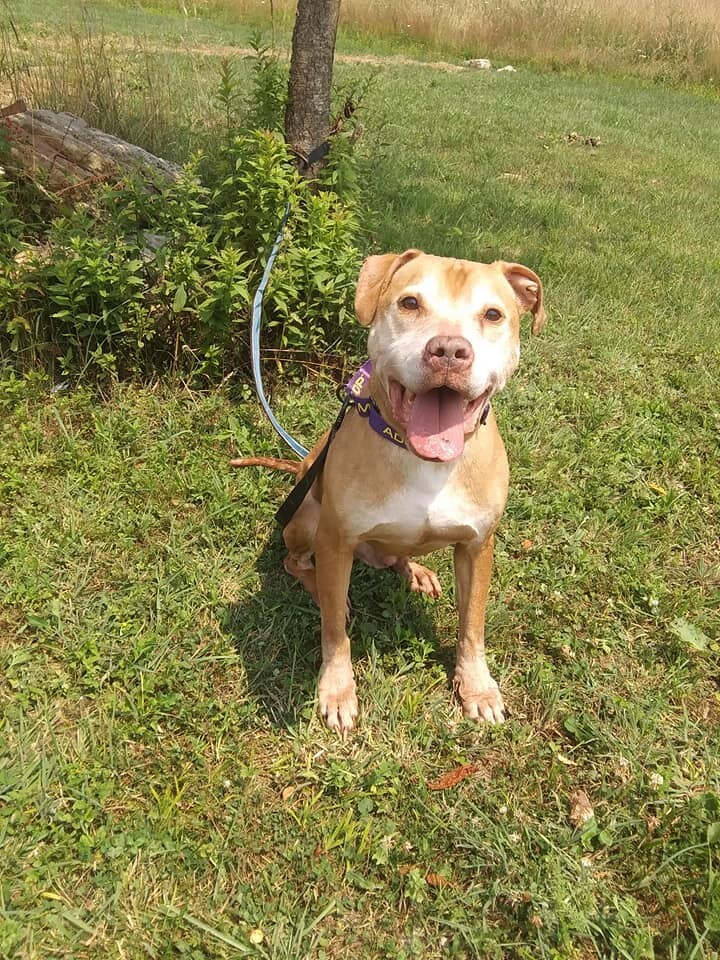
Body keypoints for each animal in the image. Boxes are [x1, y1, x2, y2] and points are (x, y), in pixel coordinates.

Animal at [233, 251, 544, 732]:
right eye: (410, 302)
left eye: (493, 314)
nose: (449, 351)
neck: (421, 457)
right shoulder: (336, 541)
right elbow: (334, 633)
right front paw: (336, 689)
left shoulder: (478, 546)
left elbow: (472, 623)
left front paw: (476, 685)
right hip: (306, 517)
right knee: (295, 563)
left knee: (397, 555)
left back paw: (414, 571)